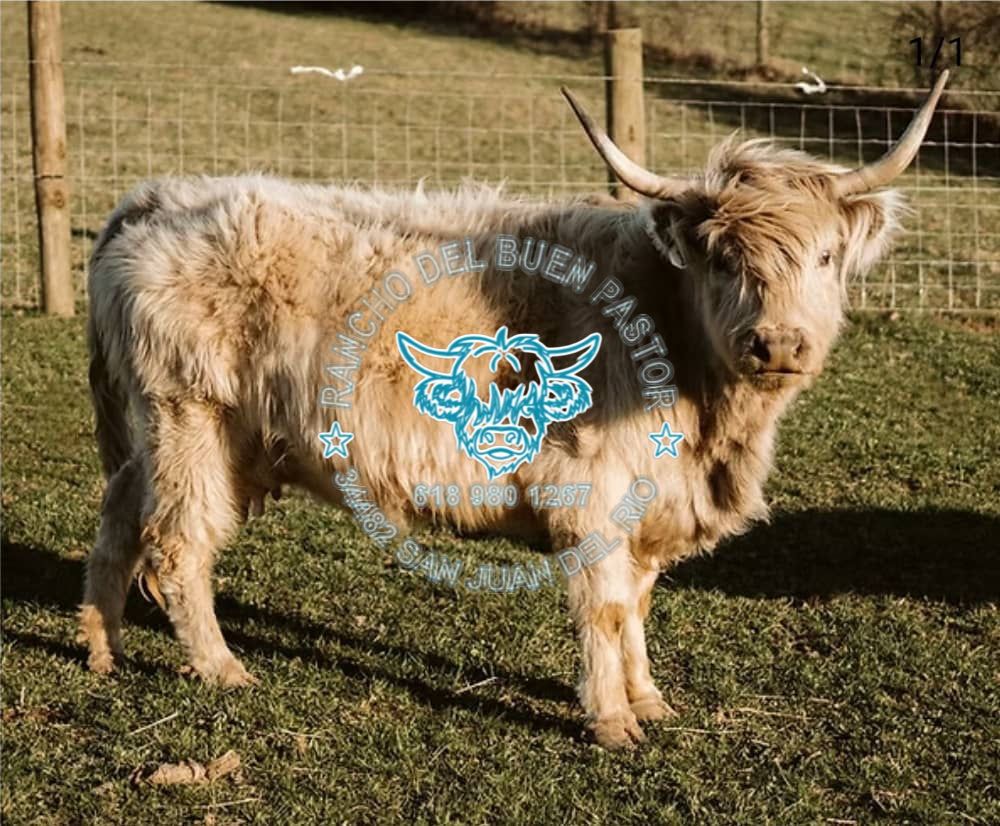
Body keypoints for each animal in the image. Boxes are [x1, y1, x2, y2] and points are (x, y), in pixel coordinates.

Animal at [78, 72, 948, 749]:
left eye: (827, 257)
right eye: (727, 259)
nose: (776, 343)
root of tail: (162, 197)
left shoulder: (650, 504)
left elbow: (637, 603)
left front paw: (649, 699)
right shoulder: (589, 494)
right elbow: (604, 607)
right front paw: (612, 720)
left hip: (169, 432)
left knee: (119, 515)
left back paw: (102, 645)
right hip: (192, 417)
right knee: (177, 545)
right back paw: (223, 668)